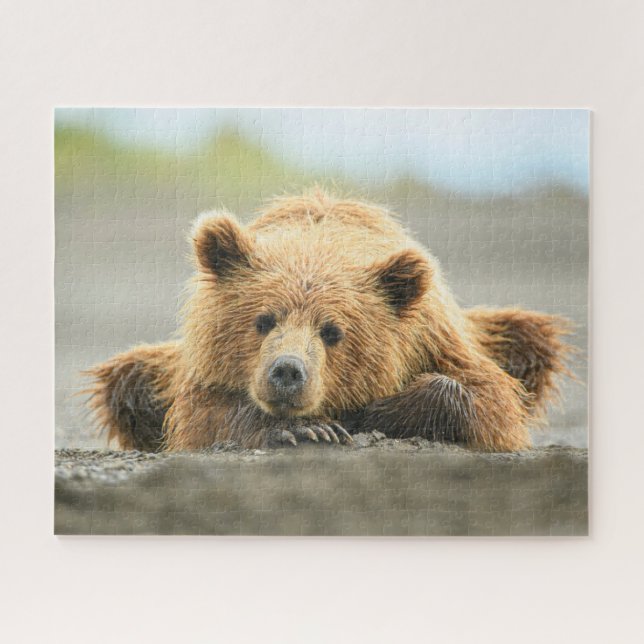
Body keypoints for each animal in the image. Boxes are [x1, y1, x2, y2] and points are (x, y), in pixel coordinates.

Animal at [86, 191, 572, 453]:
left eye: (333, 331)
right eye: (263, 320)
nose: (287, 371)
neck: (320, 242)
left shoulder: (436, 338)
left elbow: (488, 400)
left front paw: (370, 413)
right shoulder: (200, 370)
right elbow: (202, 417)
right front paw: (309, 428)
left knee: (531, 339)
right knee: (127, 379)